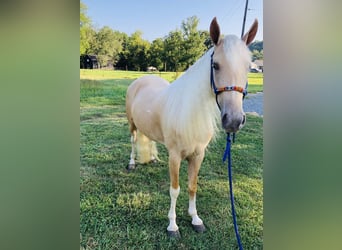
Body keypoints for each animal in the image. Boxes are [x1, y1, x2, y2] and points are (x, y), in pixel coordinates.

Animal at [125, 17, 256, 236]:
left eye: (248, 67)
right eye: (215, 65)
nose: (234, 120)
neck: (191, 114)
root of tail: (142, 79)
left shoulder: (197, 155)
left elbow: (192, 186)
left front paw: (195, 219)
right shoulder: (175, 156)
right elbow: (175, 189)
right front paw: (172, 225)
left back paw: (152, 158)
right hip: (132, 124)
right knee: (134, 142)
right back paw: (132, 163)